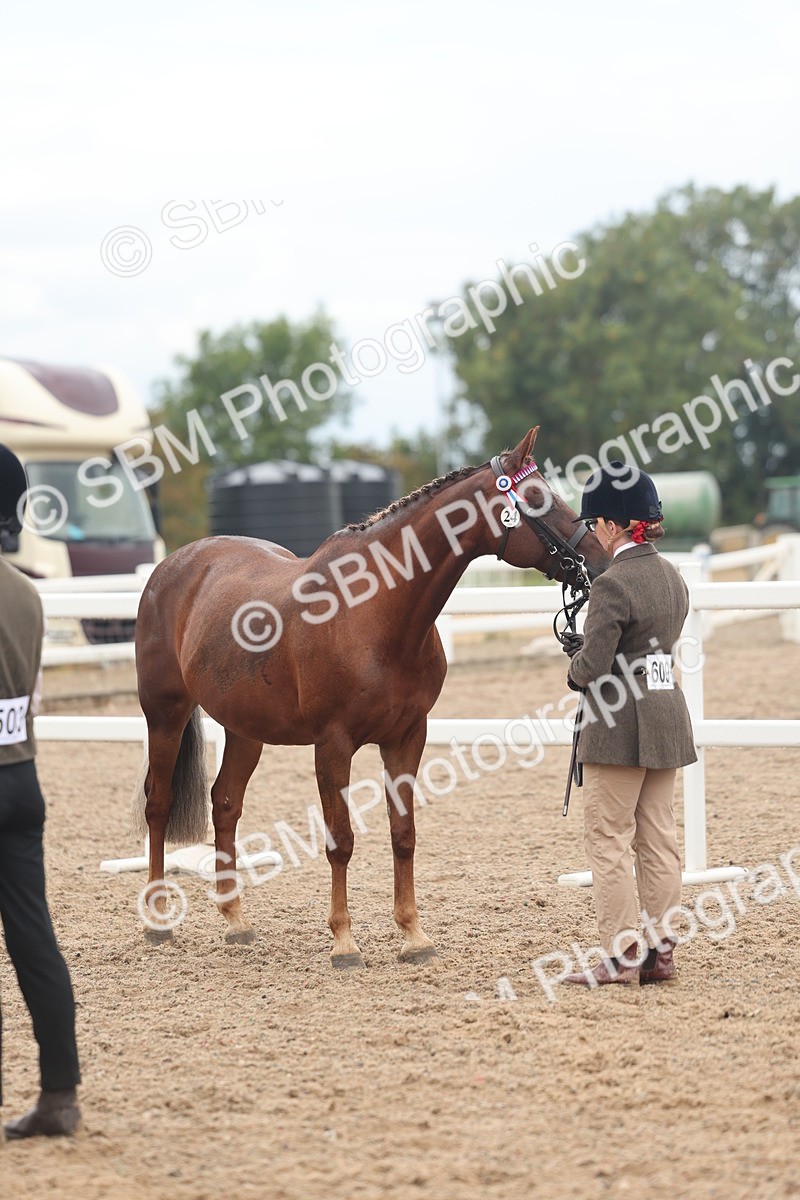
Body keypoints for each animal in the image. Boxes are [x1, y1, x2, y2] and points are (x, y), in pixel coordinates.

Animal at [132, 426, 609, 966]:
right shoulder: (332, 745)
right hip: (165, 714)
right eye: (538, 499)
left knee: (225, 804)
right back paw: (157, 921)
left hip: (244, 728)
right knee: (159, 803)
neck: (375, 612)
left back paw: (236, 921)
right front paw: (343, 942)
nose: (597, 563)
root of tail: (172, 567)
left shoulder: (407, 737)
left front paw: (413, 935)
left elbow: (403, 835)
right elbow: (340, 840)